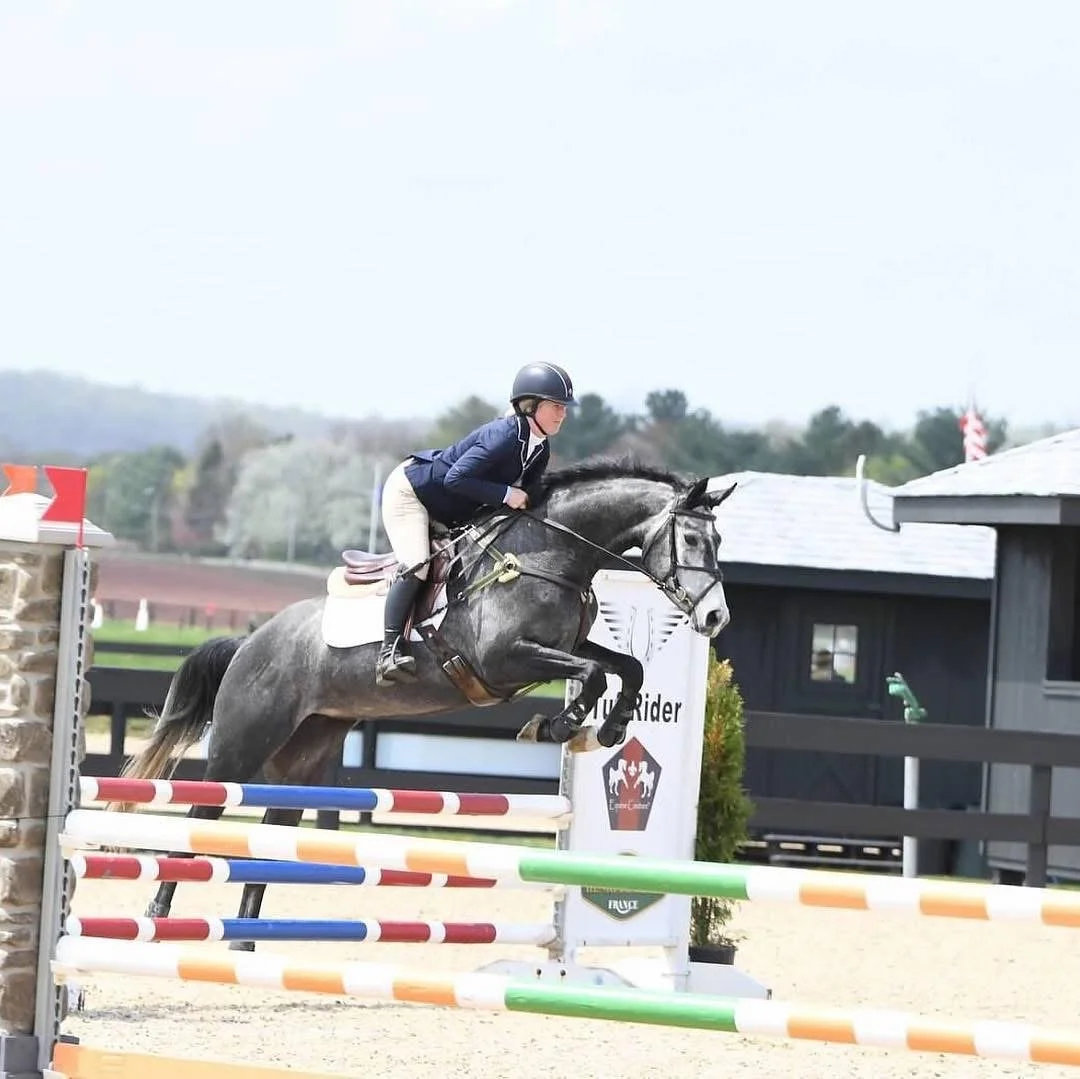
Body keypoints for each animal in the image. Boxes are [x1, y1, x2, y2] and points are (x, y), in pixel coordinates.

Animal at [113, 459, 737, 942]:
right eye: (690, 540)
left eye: (719, 542)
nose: (714, 618)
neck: (550, 556)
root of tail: (250, 642)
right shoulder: (503, 660)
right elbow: (591, 674)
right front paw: (562, 726)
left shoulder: (561, 645)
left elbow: (624, 666)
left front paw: (607, 728)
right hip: (240, 750)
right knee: (198, 821)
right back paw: (159, 917)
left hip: (304, 757)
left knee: (270, 834)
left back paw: (244, 941)